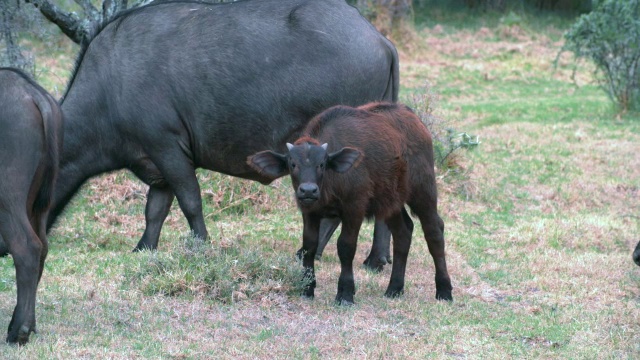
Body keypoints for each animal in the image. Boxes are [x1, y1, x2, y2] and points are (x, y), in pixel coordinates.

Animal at [50, 0, 398, 268]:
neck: (111, 88)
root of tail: (381, 40)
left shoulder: (168, 148)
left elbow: (190, 201)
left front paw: (201, 244)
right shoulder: (158, 163)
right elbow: (155, 210)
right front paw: (143, 248)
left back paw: (307, 254)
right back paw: (376, 259)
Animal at [248, 101, 452, 304]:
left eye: (322, 164)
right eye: (292, 164)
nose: (308, 190)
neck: (330, 183)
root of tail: (415, 120)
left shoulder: (354, 209)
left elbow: (345, 246)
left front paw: (345, 293)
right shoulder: (310, 212)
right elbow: (309, 245)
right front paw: (307, 288)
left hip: (423, 191)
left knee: (434, 231)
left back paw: (444, 290)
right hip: (391, 201)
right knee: (403, 232)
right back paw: (394, 288)